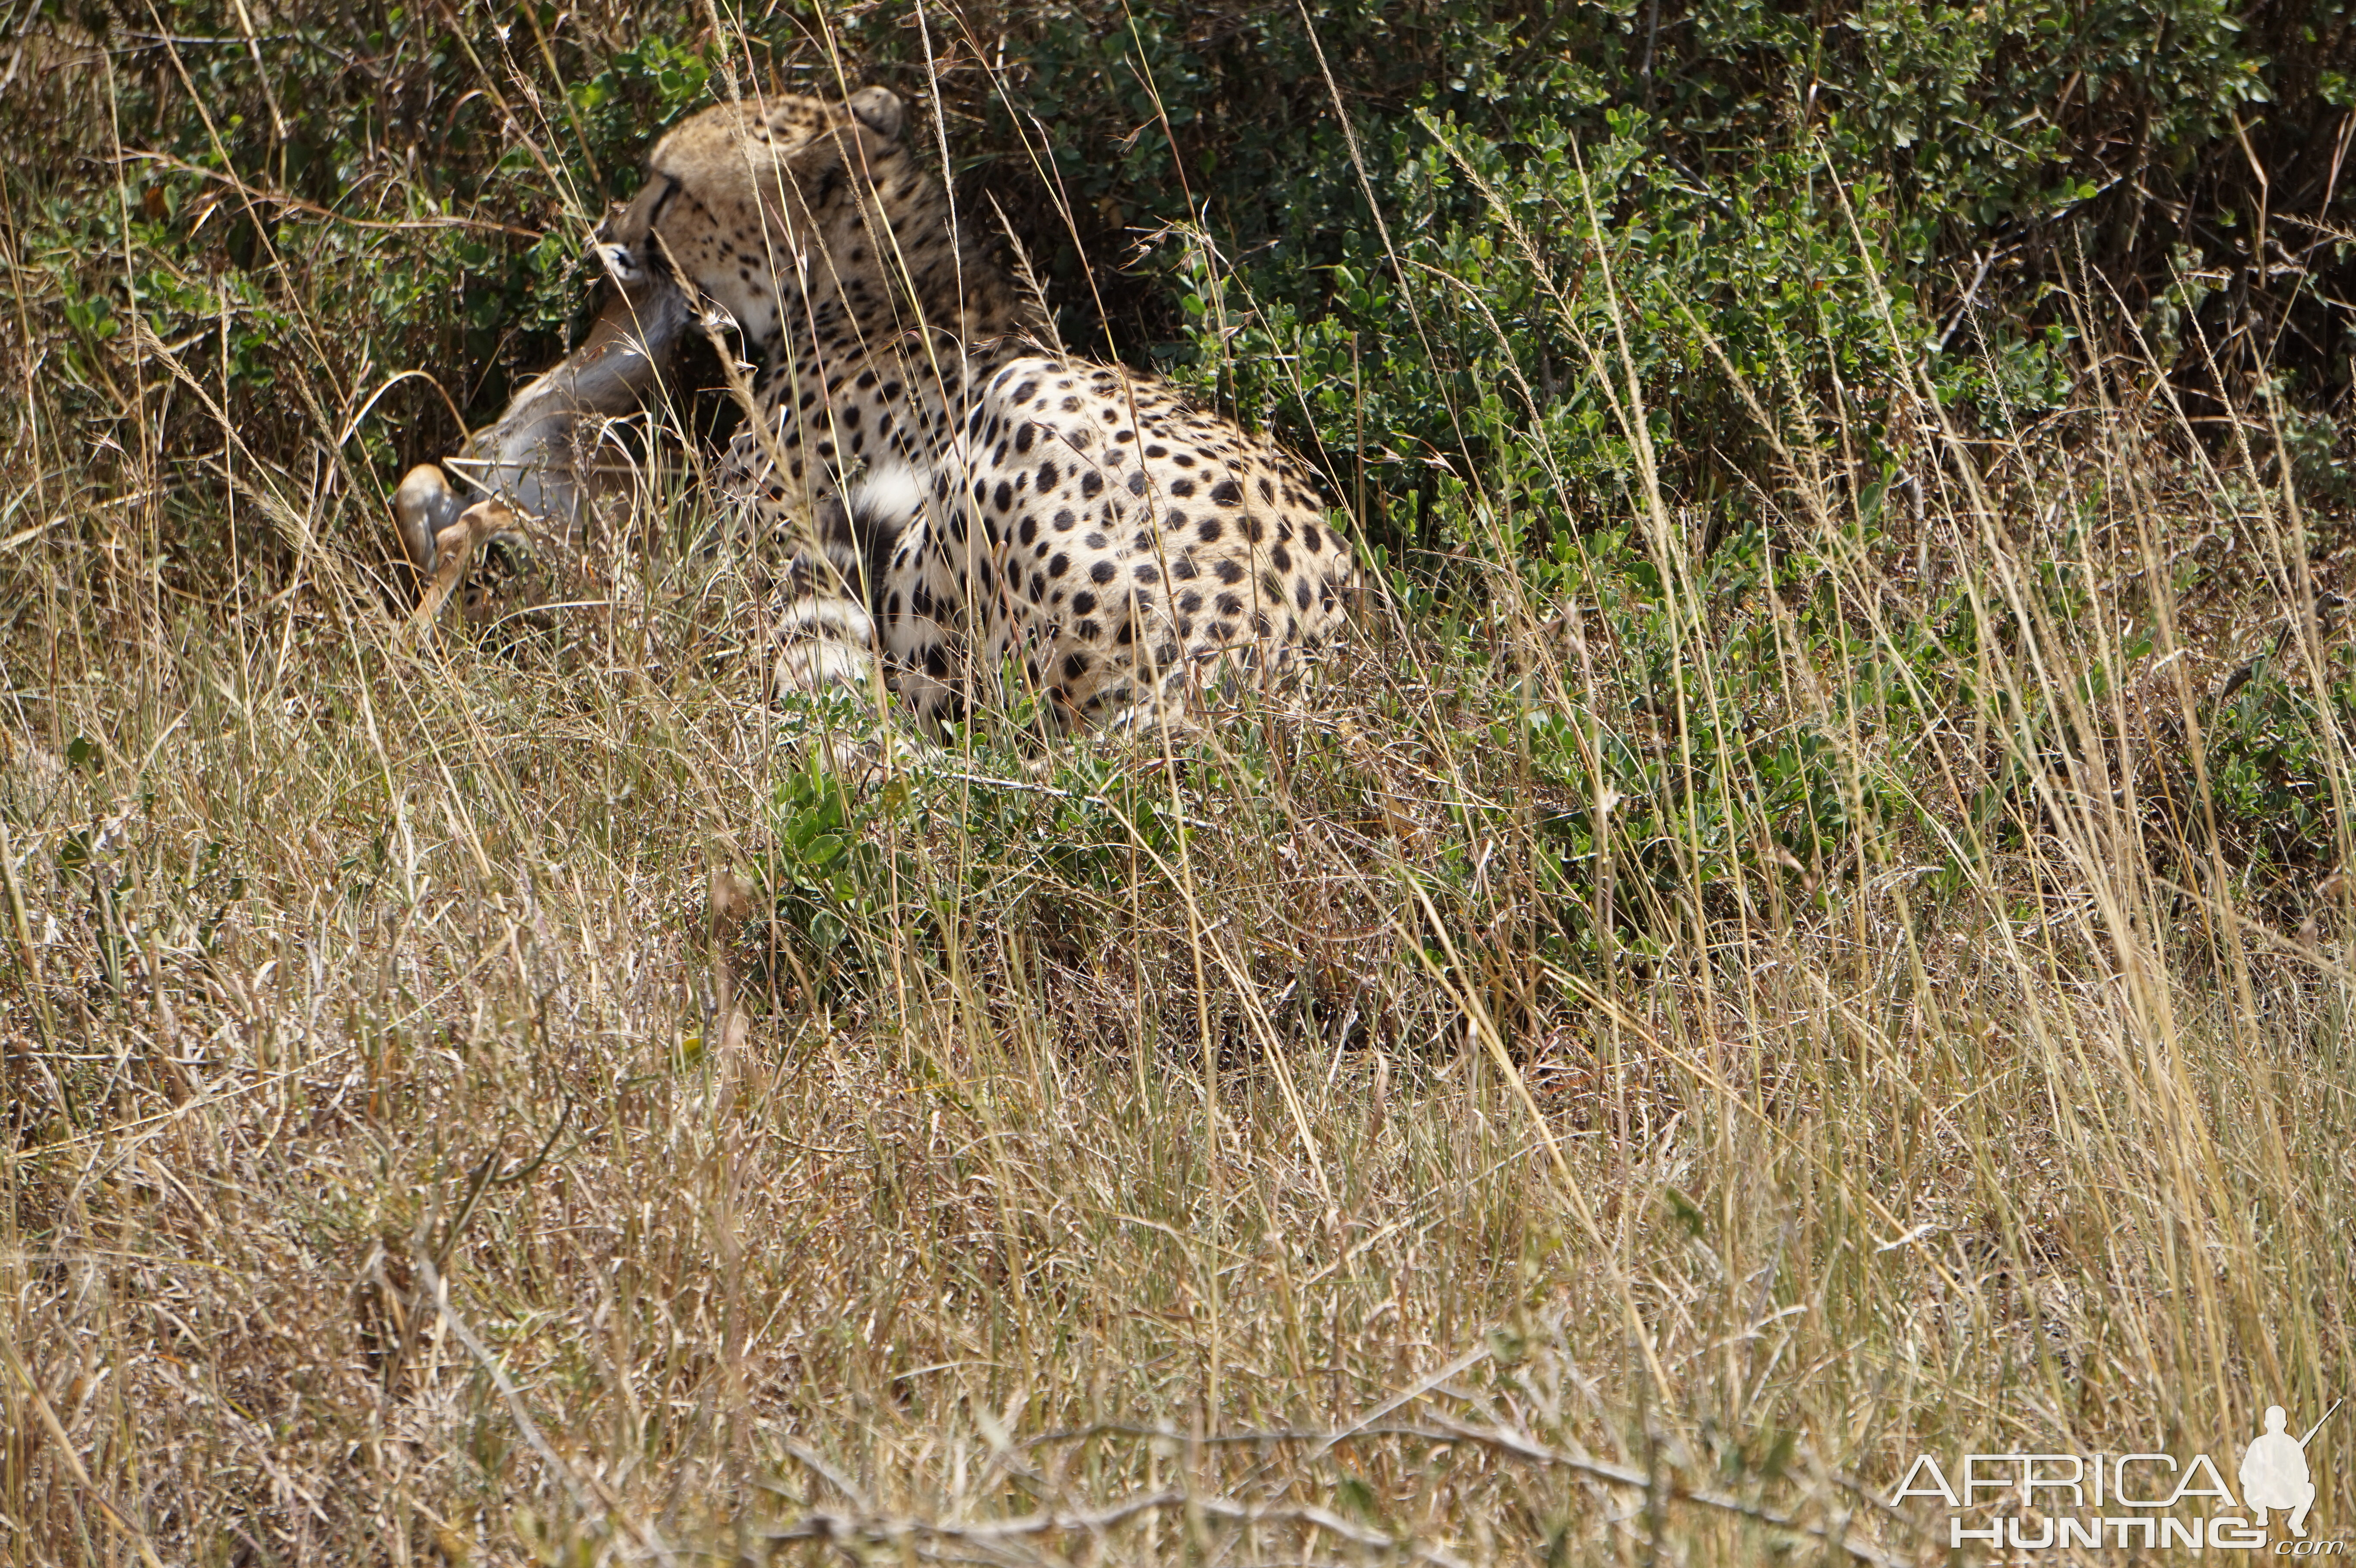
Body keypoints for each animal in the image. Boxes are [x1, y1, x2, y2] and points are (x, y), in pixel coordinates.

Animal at [396, 90, 1357, 734]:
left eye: (668, 186)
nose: (611, 240)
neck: (877, 285)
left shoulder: (730, 572)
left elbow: (615, 578)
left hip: (1006, 439)